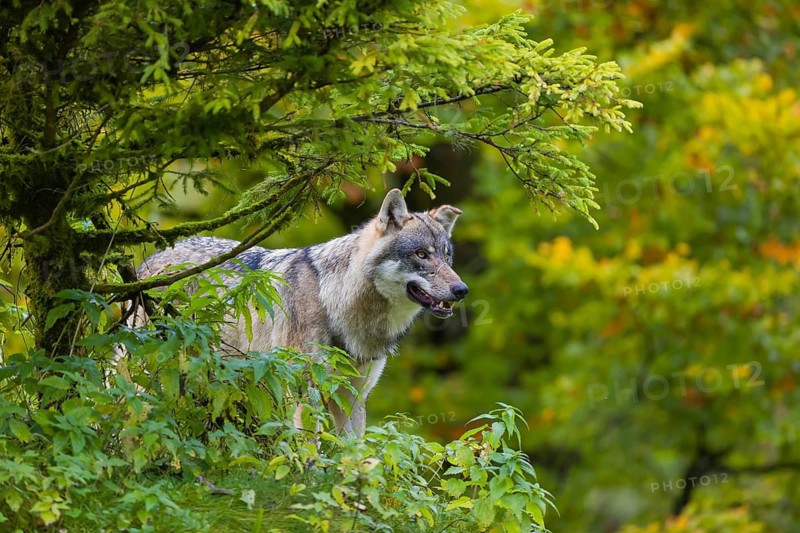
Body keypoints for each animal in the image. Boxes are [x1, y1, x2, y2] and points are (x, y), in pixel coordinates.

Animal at [134, 189, 468, 435]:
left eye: (446, 257)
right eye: (421, 254)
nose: (461, 290)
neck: (337, 303)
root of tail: (146, 264)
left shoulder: (352, 397)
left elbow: (355, 456)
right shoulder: (304, 393)